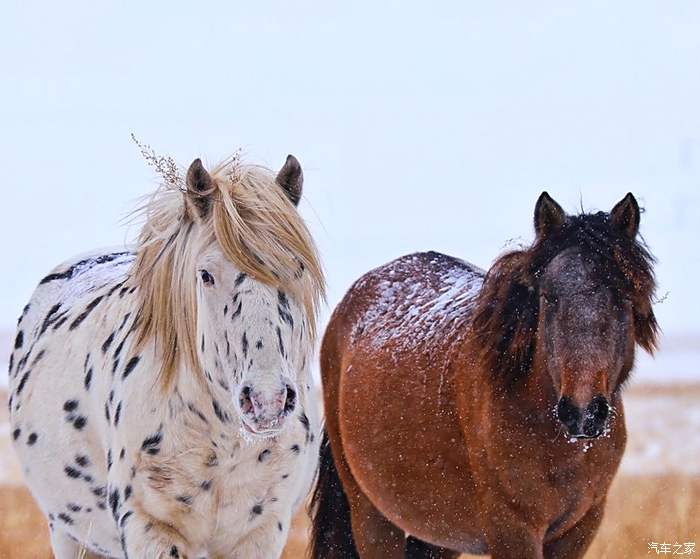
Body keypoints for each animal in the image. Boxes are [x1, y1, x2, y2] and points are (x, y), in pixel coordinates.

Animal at [8, 154, 326, 559]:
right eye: (206, 274)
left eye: (298, 268)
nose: (267, 401)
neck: (223, 443)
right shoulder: (150, 529)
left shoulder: (260, 533)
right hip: (70, 534)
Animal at [308, 194, 660, 559]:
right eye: (548, 296)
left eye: (623, 297)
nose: (583, 413)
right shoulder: (512, 529)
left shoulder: (579, 529)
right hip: (371, 515)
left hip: (438, 531)